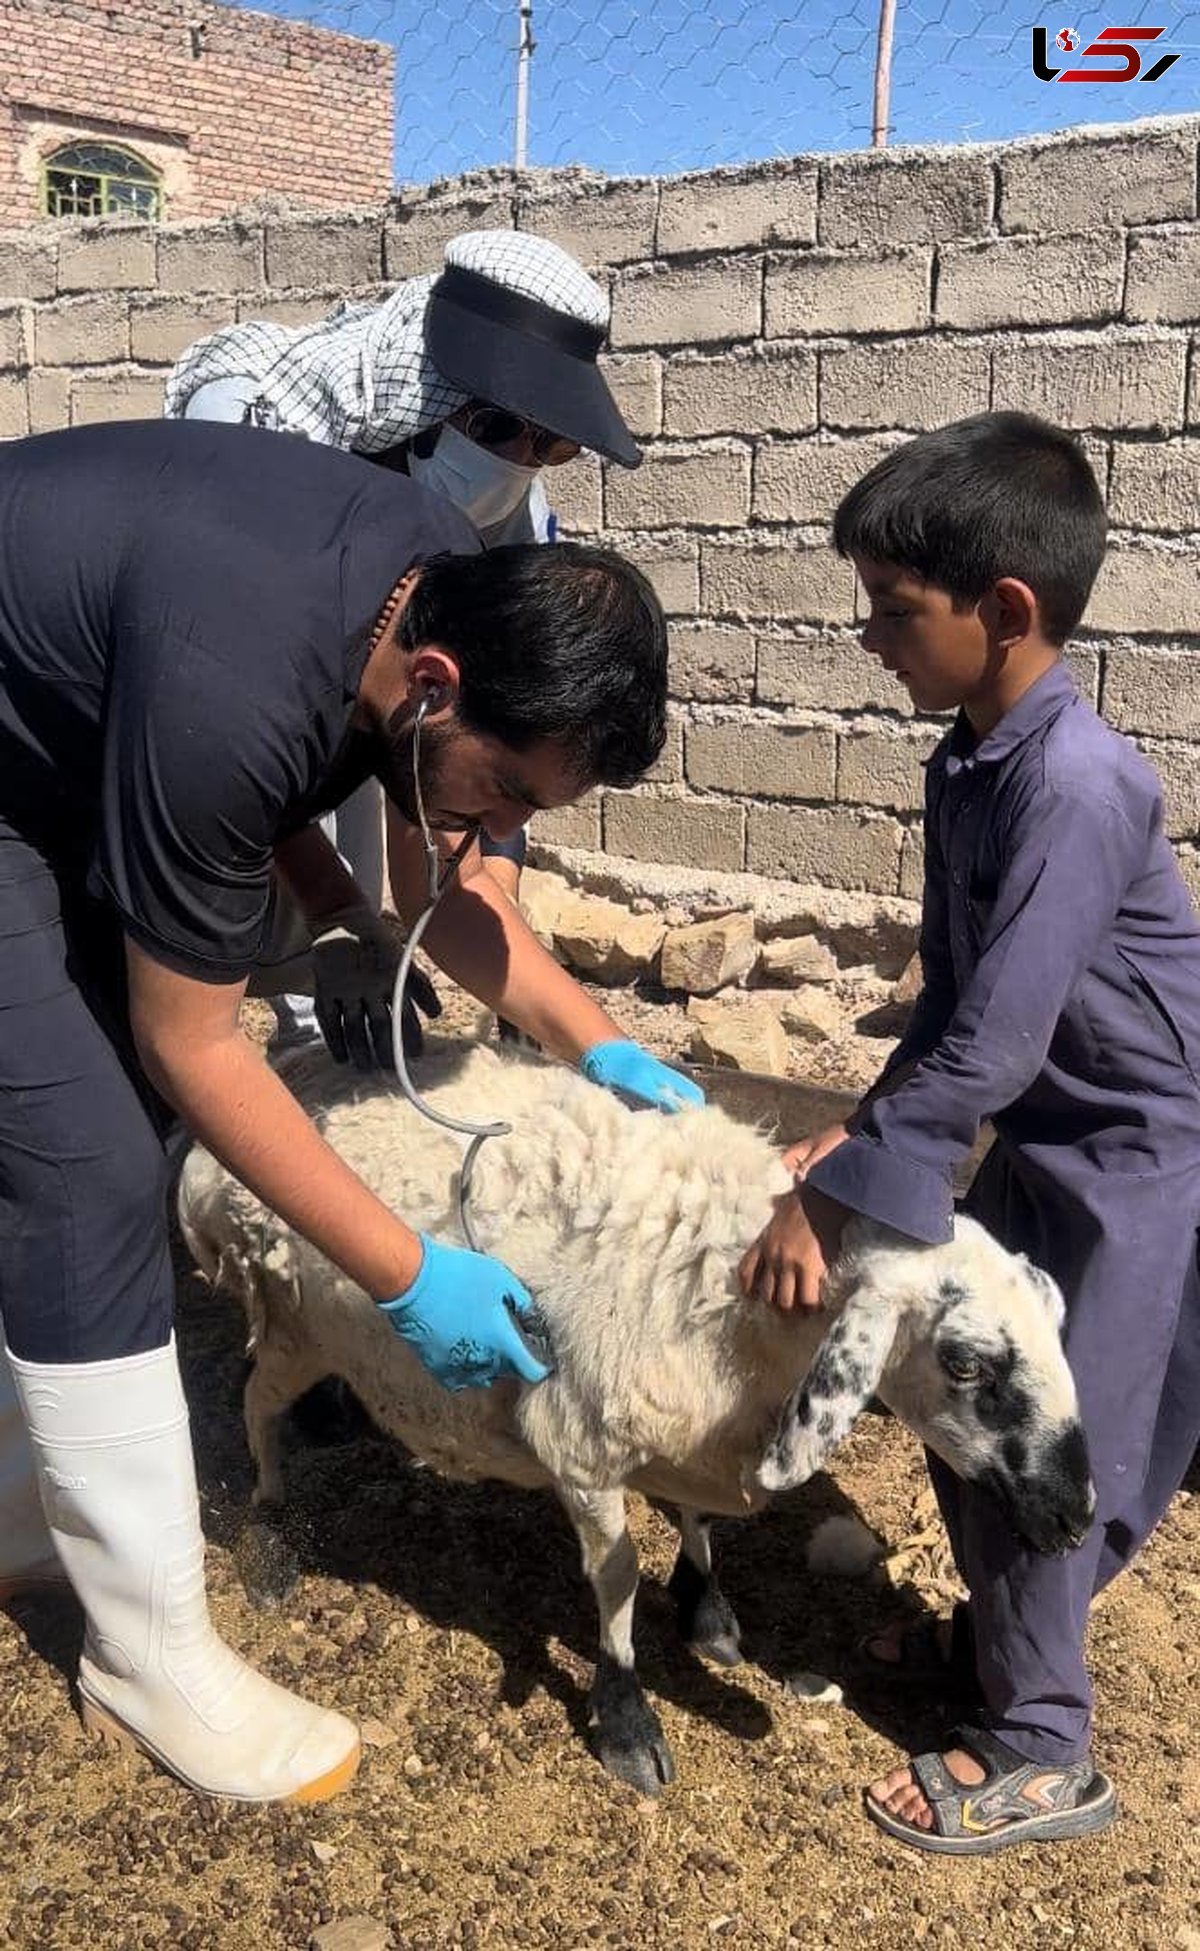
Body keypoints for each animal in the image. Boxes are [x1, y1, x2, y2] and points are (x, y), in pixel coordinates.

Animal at [180, 1045, 1100, 1787]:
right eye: (966, 1362)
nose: (1076, 1517)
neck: (743, 1297)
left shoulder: (692, 1430)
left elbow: (696, 1520)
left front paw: (706, 1610)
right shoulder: (580, 1446)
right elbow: (617, 1579)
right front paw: (625, 1716)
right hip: (293, 1318)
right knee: (255, 1402)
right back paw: (269, 1529)